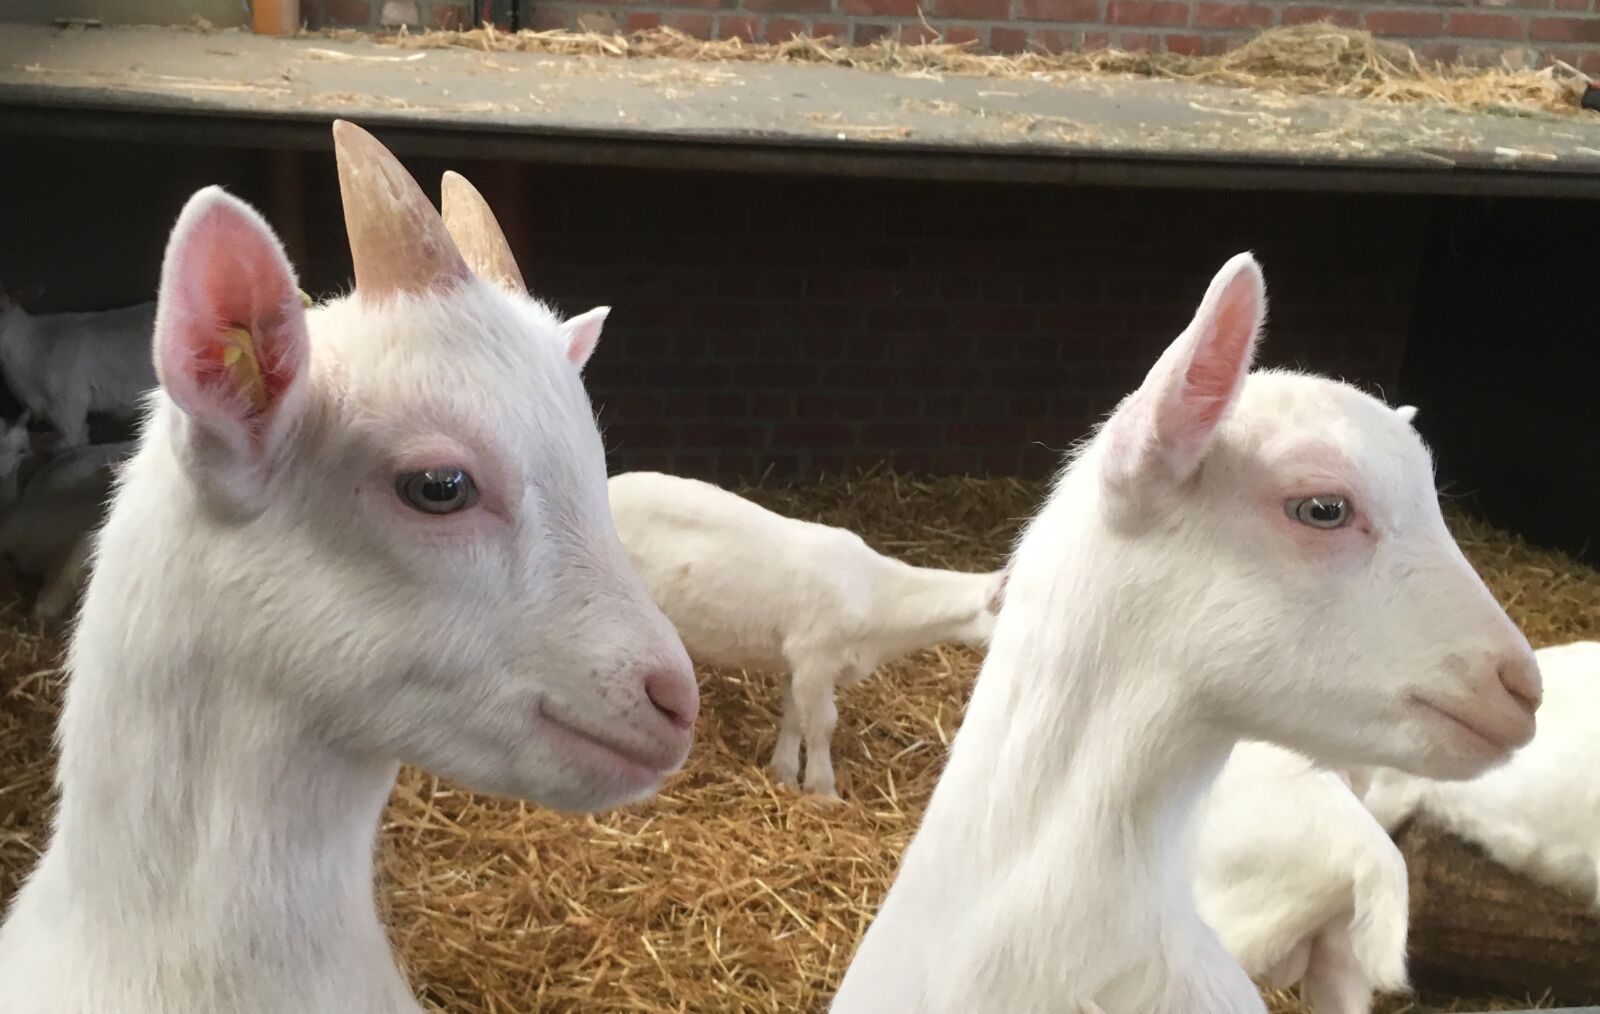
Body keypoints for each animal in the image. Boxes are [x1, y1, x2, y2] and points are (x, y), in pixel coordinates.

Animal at [606, 470, 1005, 799]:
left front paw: (783, 772)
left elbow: (794, 716)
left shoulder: (796, 662)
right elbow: (822, 724)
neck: (877, 598)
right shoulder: (815, 655)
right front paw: (823, 791)